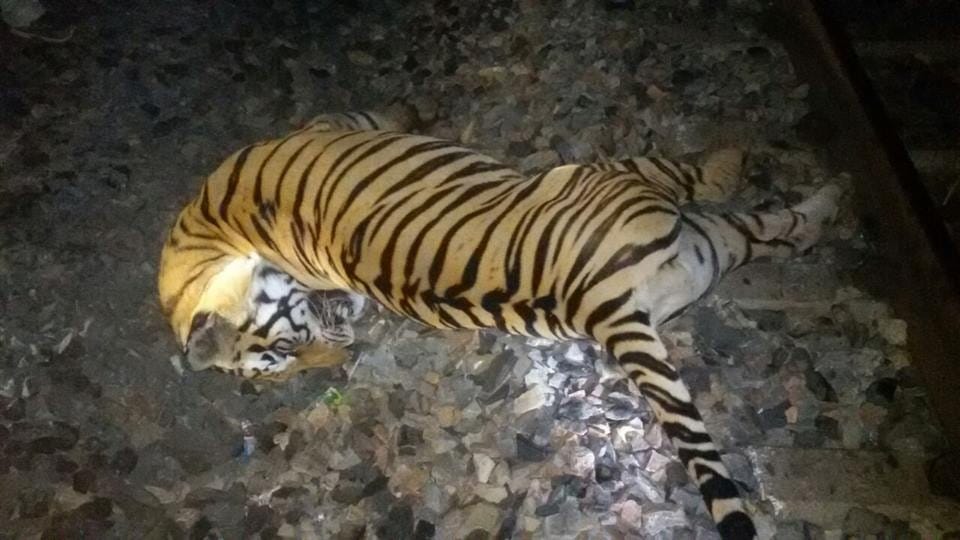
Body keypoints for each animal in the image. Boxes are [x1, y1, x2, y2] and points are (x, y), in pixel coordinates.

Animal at [157, 109, 841, 539]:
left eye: (292, 346)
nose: (343, 350)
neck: (200, 246)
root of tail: (600, 308)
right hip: (632, 191)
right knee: (713, 188)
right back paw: (780, 172)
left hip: (705, 246)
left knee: (778, 227)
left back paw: (822, 202)